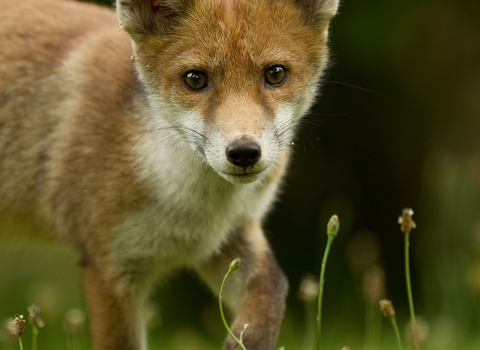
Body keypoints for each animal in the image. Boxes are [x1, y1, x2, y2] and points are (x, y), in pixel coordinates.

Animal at [0, 0, 338, 348]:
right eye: (194, 79)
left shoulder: (226, 234)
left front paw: (246, 339)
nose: (244, 152)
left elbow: (274, 287)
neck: (192, 208)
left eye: (275, 74)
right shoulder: (110, 266)